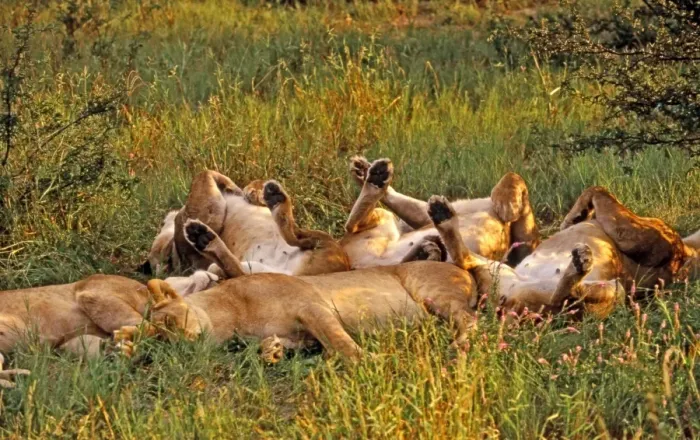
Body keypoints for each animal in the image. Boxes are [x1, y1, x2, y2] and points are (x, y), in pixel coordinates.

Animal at [143, 170, 350, 277]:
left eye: (167, 258)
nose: (168, 269)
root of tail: (295, 275)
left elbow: (207, 175)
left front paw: (250, 191)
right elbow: (205, 175)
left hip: (326, 243)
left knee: (297, 236)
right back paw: (203, 237)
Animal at [340, 156, 540, 269]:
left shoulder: (524, 250)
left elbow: (515, 177)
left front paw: (508, 205)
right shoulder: (423, 216)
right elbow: (514, 175)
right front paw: (363, 169)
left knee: (463, 259)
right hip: (385, 218)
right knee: (352, 225)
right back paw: (376, 177)